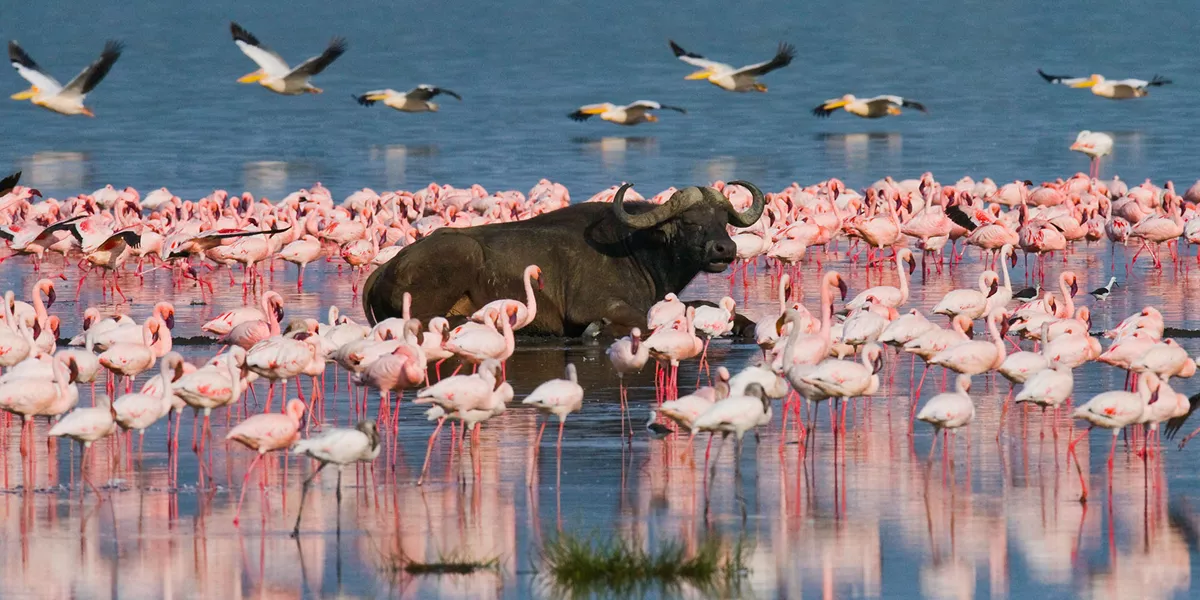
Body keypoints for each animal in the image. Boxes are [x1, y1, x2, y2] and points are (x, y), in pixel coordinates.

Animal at [360, 180, 763, 336]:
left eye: (722, 219)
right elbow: (643, 321)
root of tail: (386, 268)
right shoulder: (596, 306)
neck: (636, 250)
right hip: (459, 258)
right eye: (690, 221)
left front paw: (743, 325)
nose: (725, 250)